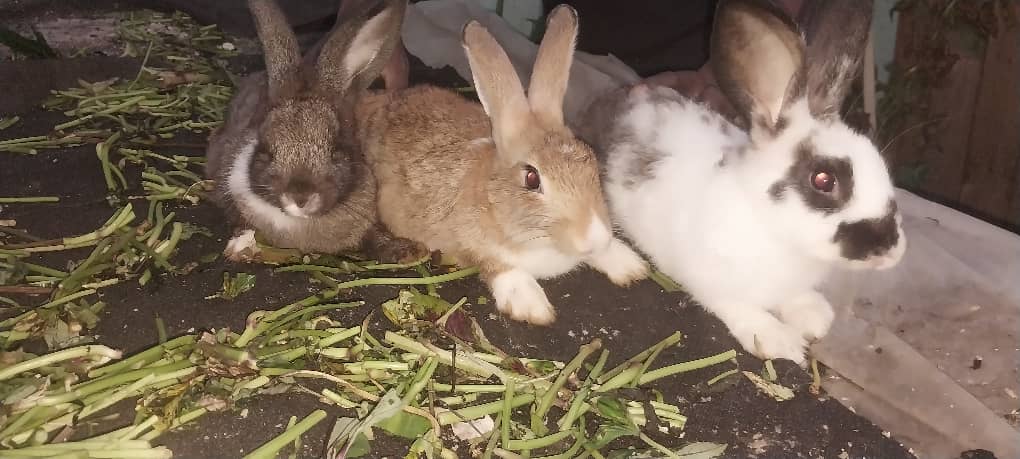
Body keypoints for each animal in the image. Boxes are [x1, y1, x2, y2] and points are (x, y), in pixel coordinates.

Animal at [355, 5, 649, 325]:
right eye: (532, 179)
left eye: (591, 159)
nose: (594, 237)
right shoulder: (470, 244)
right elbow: (497, 266)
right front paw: (532, 307)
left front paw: (627, 264)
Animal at [576, 0, 906, 365]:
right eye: (823, 180)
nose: (892, 252)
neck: (774, 231)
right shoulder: (713, 281)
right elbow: (742, 308)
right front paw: (780, 340)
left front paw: (813, 316)